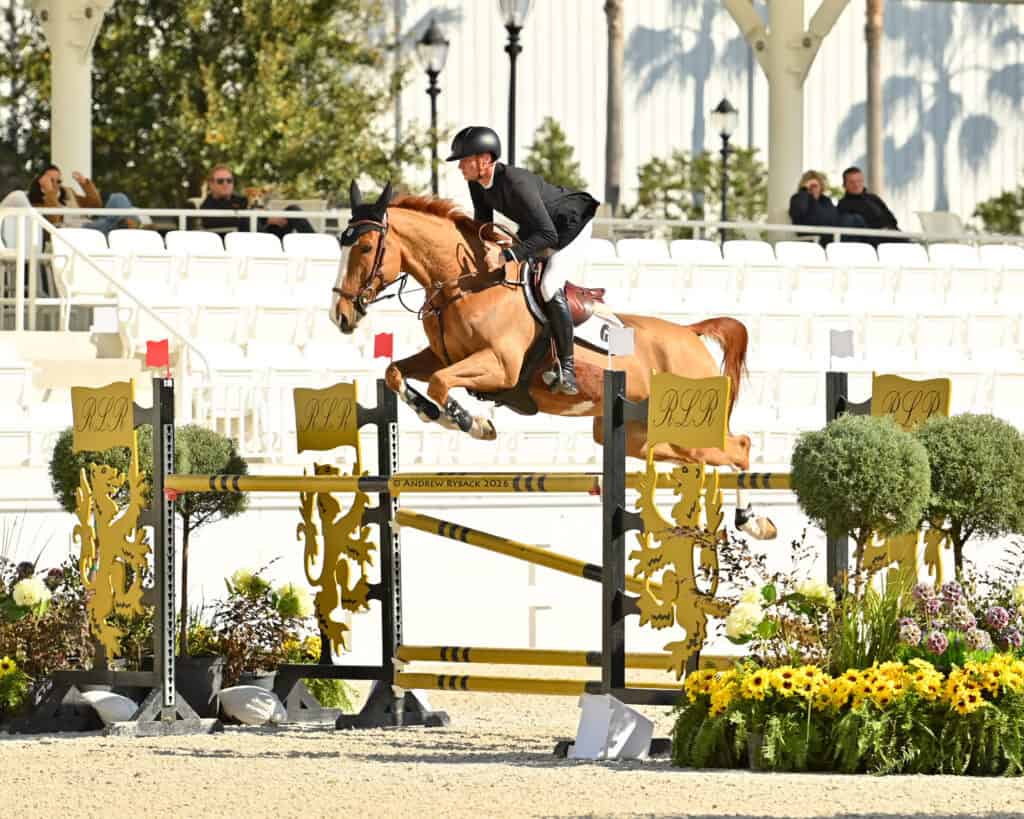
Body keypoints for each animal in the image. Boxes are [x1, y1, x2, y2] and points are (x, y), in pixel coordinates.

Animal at [330, 181, 755, 473]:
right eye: (341, 245)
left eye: (365, 248)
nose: (340, 315)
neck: (468, 283)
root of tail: (691, 334)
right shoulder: (440, 356)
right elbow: (396, 372)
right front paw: (434, 414)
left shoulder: (499, 366)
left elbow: (439, 383)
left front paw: (473, 423)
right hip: (633, 433)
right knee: (697, 454)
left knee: (740, 448)